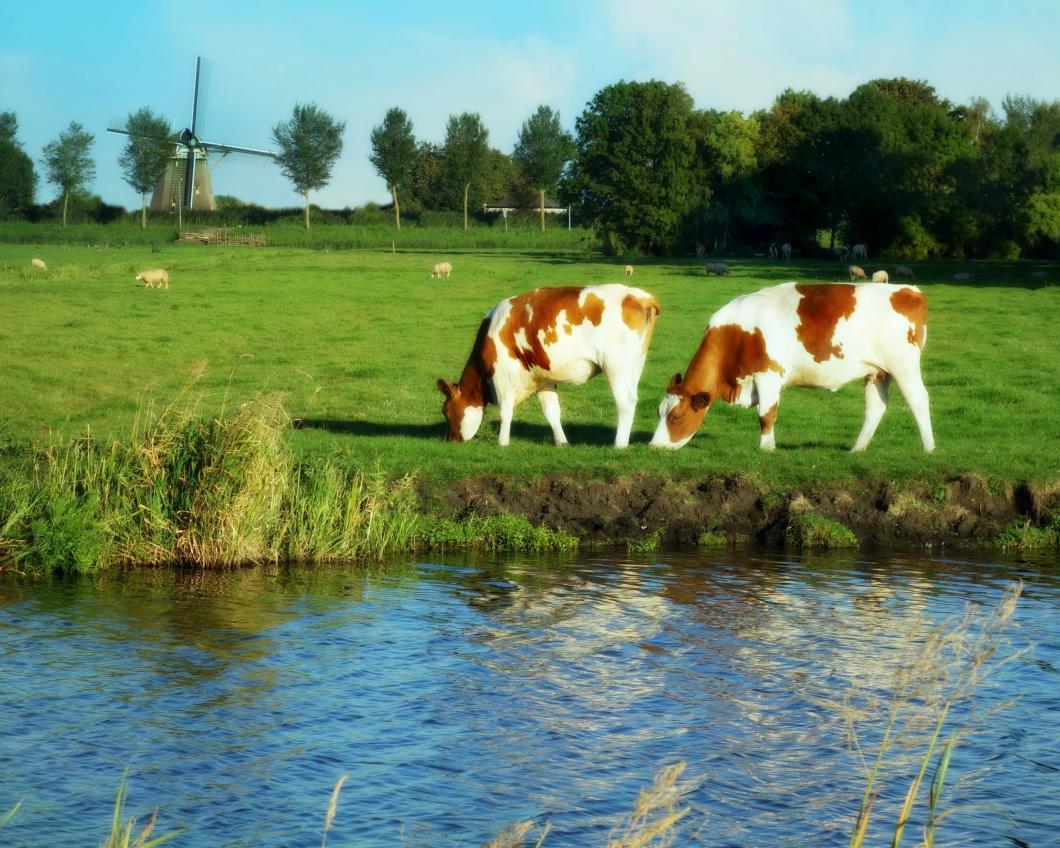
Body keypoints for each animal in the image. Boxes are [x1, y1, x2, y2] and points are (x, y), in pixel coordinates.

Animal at [434, 284, 657, 447]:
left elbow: (505, 412)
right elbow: (552, 413)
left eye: (446, 411)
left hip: (616, 367)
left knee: (626, 403)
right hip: (635, 365)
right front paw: (562, 442)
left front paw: (502, 443)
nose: (449, 441)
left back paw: (619, 445)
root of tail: (639, 296)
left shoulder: (503, 376)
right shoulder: (543, 380)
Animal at [644, 281, 937, 453]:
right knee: (875, 407)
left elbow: (766, 414)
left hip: (903, 365)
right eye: (659, 411)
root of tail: (910, 290)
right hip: (877, 372)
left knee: (919, 400)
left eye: (675, 417)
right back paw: (857, 449)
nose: (654, 446)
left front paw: (766, 448)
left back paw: (929, 448)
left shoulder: (769, 374)